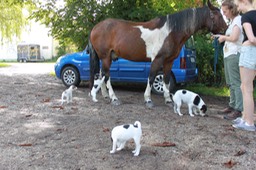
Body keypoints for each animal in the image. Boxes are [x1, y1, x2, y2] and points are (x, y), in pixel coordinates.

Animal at [87, 0, 226, 107]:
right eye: (217, 16)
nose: (225, 29)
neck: (171, 32)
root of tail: (95, 28)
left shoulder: (169, 61)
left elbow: (166, 79)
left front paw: (168, 100)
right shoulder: (157, 59)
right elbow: (152, 77)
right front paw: (148, 100)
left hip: (107, 57)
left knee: (102, 75)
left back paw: (106, 96)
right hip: (105, 57)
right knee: (107, 76)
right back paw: (114, 98)